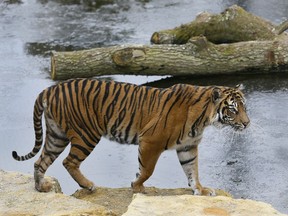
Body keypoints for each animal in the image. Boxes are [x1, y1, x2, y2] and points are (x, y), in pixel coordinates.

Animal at [11, 78, 250, 195]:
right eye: (233, 109)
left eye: (244, 107)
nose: (247, 123)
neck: (204, 118)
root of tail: (50, 89)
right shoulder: (151, 141)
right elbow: (147, 170)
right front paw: (137, 186)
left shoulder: (188, 147)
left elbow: (192, 170)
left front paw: (200, 189)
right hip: (86, 134)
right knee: (69, 162)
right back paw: (88, 186)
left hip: (56, 136)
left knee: (41, 162)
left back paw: (41, 188)